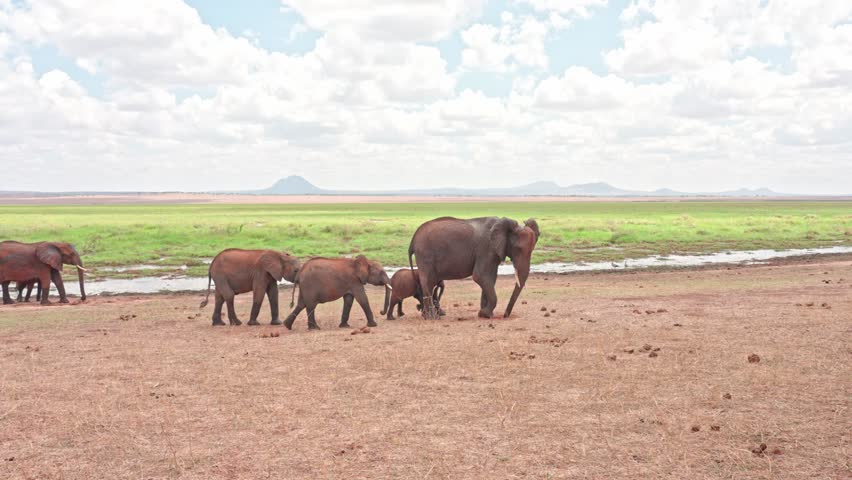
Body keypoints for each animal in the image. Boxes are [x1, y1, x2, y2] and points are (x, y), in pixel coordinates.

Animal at [408, 216, 539, 319]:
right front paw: (485, 314)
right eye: (518, 249)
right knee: (428, 282)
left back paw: (427, 316)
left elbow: (490, 278)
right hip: (425, 255)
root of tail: (413, 240)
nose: (505, 315)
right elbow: (480, 276)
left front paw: (485, 315)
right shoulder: (486, 248)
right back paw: (432, 317)